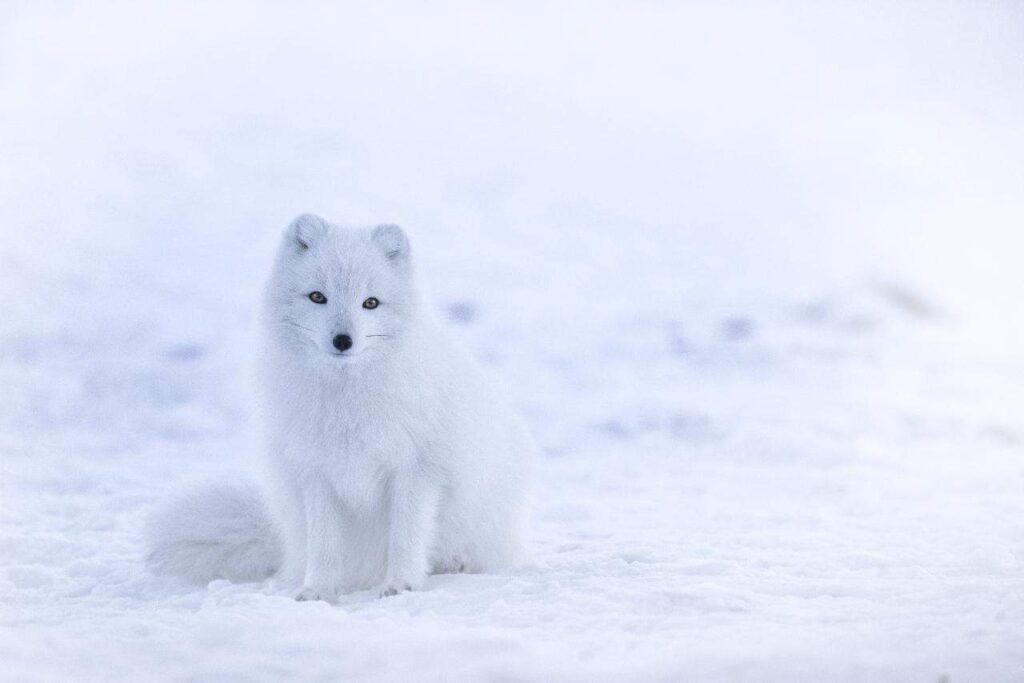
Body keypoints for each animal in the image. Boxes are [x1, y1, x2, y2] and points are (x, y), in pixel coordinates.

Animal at [149, 216, 536, 602]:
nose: (343, 340)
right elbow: (324, 546)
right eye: (318, 297)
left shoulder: (417, 469)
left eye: (371, 303)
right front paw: (317, 590)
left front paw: (401, 584)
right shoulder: (316, 472)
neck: (346, 400)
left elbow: (406, 538)